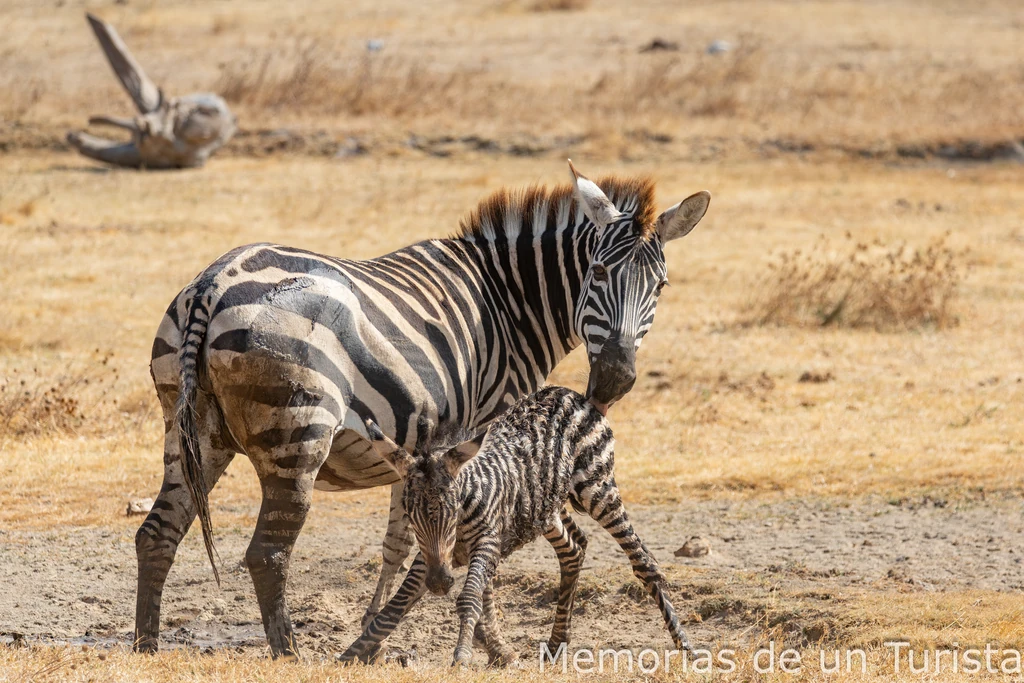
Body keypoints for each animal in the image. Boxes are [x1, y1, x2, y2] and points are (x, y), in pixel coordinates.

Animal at [339, 385, 690, 666]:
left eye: (451, 511)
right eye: (411, 518)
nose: (439, 584)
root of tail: (570, 393)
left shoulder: (485, 541)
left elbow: (468, 597)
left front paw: (462, 656)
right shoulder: (433, 555)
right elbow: (396, 605)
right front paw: (352, 653)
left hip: (598, 489)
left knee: (643, 562)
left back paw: (685, 646)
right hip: (544, 509)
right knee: (574, 549)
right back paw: (556, 645)